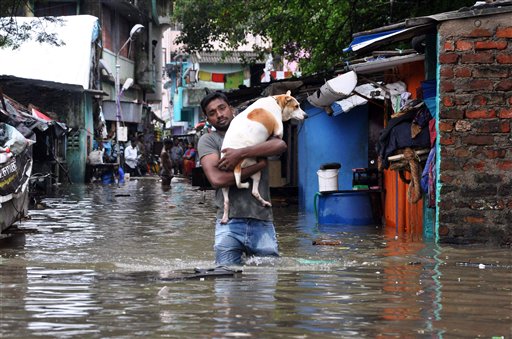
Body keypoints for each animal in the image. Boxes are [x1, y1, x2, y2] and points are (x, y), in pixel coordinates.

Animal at [219, 90, 306, 224]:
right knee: (254, 191)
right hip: (255, 169)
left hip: (225, 181)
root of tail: (237, 165)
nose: (306, 115)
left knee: (228, 200)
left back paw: (225, 217)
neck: (277, 101)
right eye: (296, 106)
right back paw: (265, 202)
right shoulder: (278, 133)